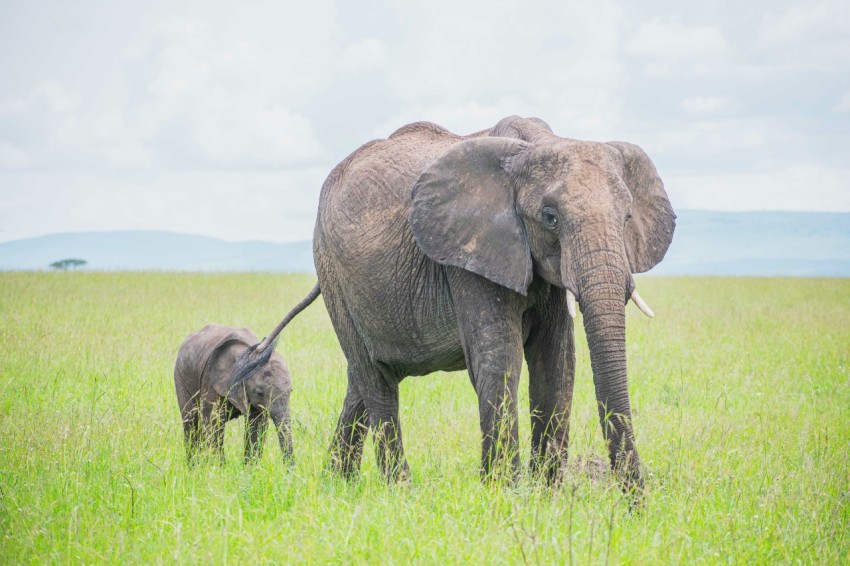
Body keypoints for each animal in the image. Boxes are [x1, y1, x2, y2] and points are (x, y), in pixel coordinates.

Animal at [174, 324, 293, 465]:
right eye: (260, 393)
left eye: (291, 391)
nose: (289, 469)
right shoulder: (211, 380)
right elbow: (214, 422)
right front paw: (220, 468)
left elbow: (256, 426)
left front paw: (250, 468)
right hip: (181, 376)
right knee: (191, 422)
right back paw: (193, 466)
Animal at [236, 116, 675, 491]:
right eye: (550, 217)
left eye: (627, 217)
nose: (635, 501)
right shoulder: (468, 256)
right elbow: (500, 357)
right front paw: (505, 494)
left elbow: (557, 362)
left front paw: (545, 496)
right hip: (333, 273)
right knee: (375, 377)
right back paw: (399, 489)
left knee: (362, 377)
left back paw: (337, 483)